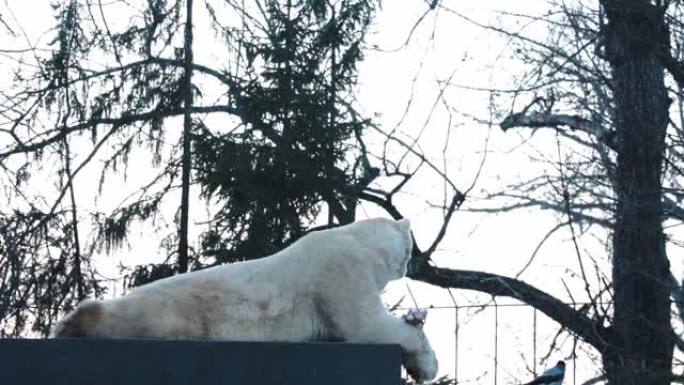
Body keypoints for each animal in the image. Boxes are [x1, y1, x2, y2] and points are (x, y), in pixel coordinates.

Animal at [52, 218, 438, 380]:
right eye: (411, 245)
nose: (414, 262)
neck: (358, 241)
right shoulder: (340, 269)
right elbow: (367, 325)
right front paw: (425, 363)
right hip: (172, 312)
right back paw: (75, 321)